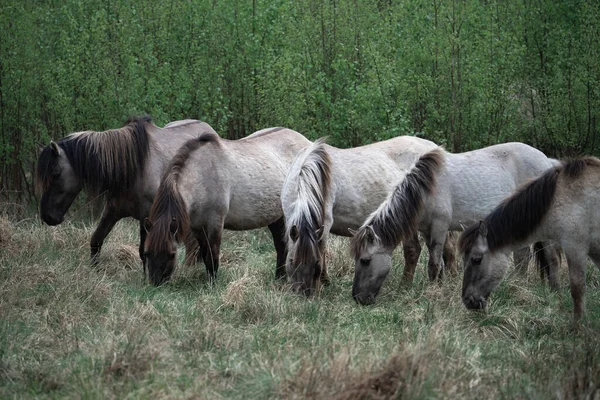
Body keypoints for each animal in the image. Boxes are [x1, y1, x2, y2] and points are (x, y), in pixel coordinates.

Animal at [141, 127, 310, 284]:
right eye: (147, 252)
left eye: (172, 254)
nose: (156, 284)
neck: (202, 175)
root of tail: (307, 142)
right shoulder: (197, 227)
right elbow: (205, 253)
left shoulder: (215, 223)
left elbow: (212, 255)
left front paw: (213, 284)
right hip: (276, 217)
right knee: (281, 246)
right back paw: (279, 278)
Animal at [282, 136, 454, 296]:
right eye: (291, 260)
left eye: (315, 262)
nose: (302, 292)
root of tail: (434, 147)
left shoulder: (325, 224)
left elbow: (321, 252)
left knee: (415, 251)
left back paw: (406, 286)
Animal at [350, 143, 560, 304]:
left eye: (365, 260)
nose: (357, 298)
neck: (426, 189)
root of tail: (547, 161)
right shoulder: (427, 230)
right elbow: (440, 263)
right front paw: (440, 287)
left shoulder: (440, 227)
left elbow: (434, 264)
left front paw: (433, 293)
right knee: (523, 256)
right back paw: (517, 285)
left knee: (551, 257)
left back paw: (553, 291)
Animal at [460, 158, 600, 320]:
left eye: (476, 259)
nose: (467, 301)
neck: (560, 199)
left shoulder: (575, 248)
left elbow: (577, 290)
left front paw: (578, 325)